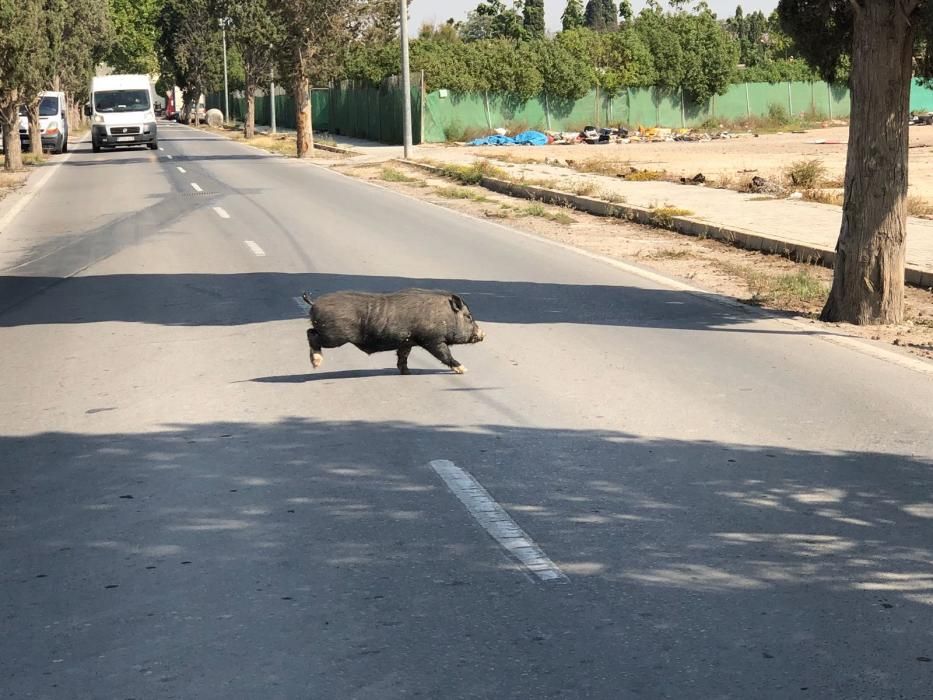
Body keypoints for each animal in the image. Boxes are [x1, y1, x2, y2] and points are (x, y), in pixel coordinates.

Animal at [300, 288, 488, 374]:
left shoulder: (407, 341)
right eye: (468, 316)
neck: (444, 315)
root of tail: (314, 303)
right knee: (311, 333)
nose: (483, 334)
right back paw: (316, 363)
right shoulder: (432, 340)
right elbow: (445, 355)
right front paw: (464, 369)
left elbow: (403, 356)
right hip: (333, 336)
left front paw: (407, 372)